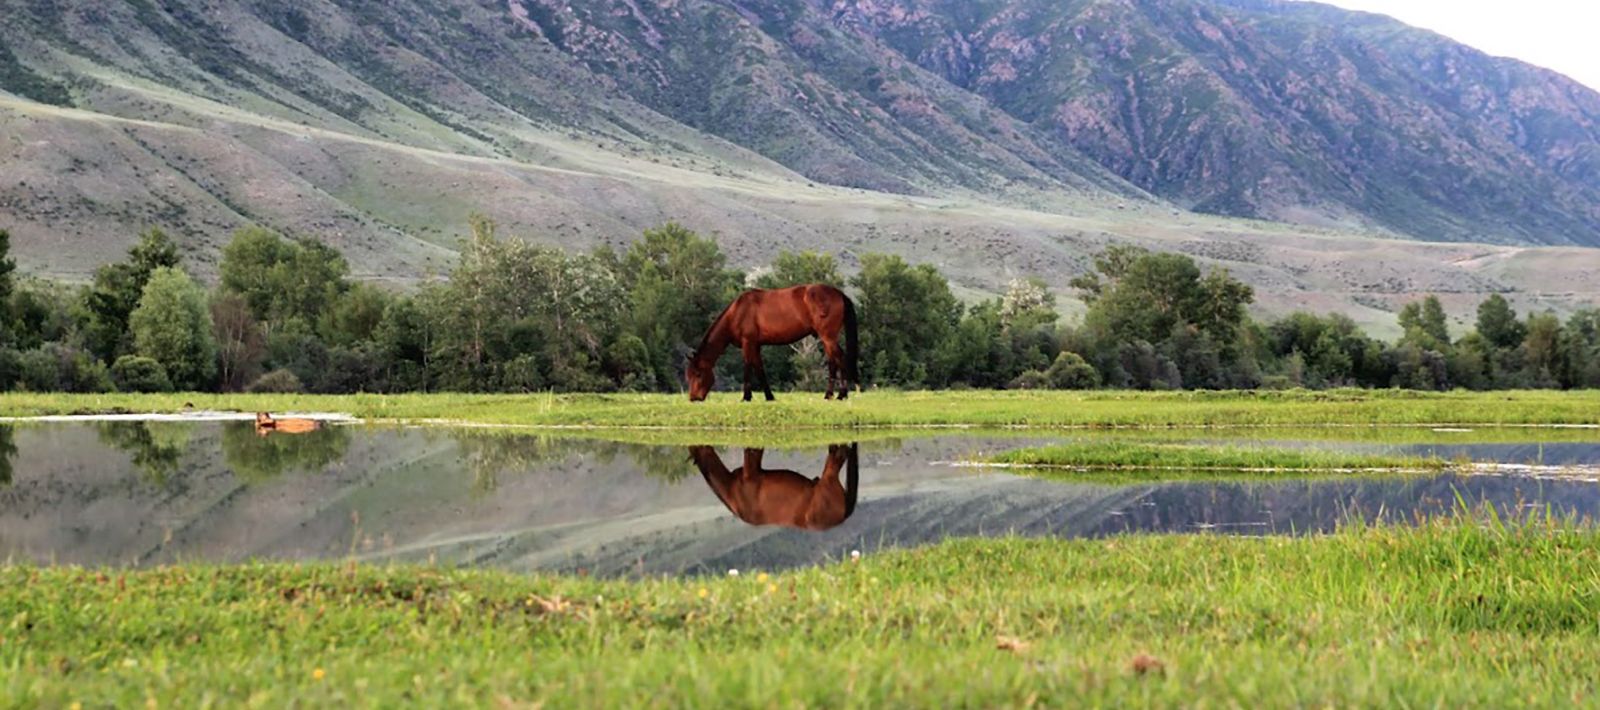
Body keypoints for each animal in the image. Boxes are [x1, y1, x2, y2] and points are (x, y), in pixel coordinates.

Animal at [688, 284, 864, 404]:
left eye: (698, 374)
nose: (693, 398)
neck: (738, 312)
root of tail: (839, 293)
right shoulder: (756, 345)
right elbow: (759, 369)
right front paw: (769, 396)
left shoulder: (748, 343)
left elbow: (747, 368)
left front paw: (746, 397)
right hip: (827, 339)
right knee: (833, 361)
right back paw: (829, 395)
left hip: (827, 337)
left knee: (840, 359)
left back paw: (841, 395)